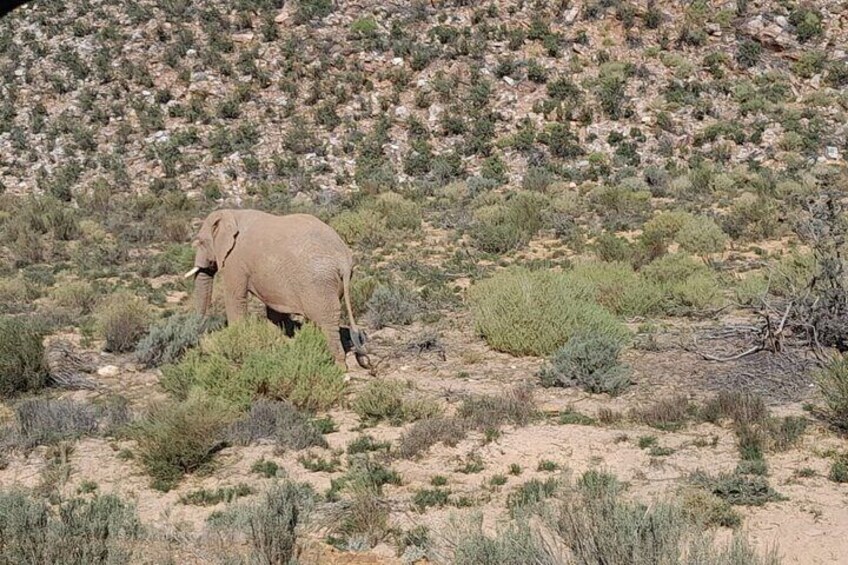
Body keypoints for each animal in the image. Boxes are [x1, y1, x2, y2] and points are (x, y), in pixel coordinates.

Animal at [184, 208, 370, 370]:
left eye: (200, 242)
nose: (197, 341)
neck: (232, 213)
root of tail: (344, 260)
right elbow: (274, 306)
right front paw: (276, 342)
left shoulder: (234, 260)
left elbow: (235, 297)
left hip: (319, 282)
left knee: (326, 321)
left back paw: (338, 367)